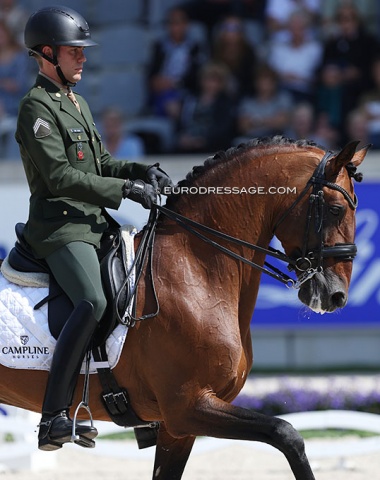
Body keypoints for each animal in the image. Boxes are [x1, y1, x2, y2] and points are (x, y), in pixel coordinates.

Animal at [0, 137, 368, 478]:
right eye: (336, 209)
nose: (337, 296)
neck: (195, 267)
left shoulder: (178, 428)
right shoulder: (188, 406)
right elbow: (287, 434)